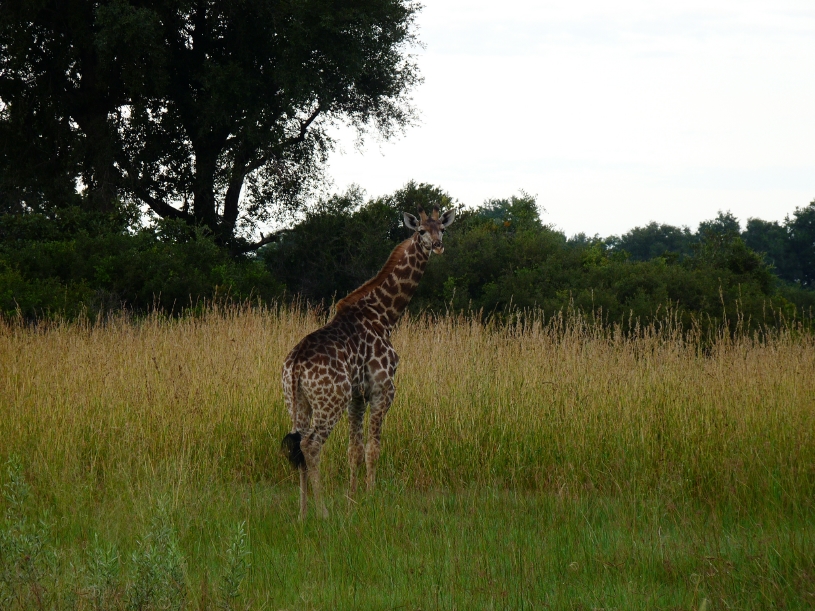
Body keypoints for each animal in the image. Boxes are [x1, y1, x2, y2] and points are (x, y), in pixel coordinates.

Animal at [281, 204, 455, 518]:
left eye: (443, 229)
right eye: (421, 231)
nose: (437, 245)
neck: (384, 316)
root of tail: (296, 365)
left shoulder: (357, 395)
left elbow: (354, 450)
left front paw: (352, 501)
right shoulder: (382, 389)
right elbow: (373, 448)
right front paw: (373, 499)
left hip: (297, 402)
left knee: (298, 445)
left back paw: (302, 514)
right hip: (330, 402)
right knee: (312, 446)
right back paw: (323, 513)